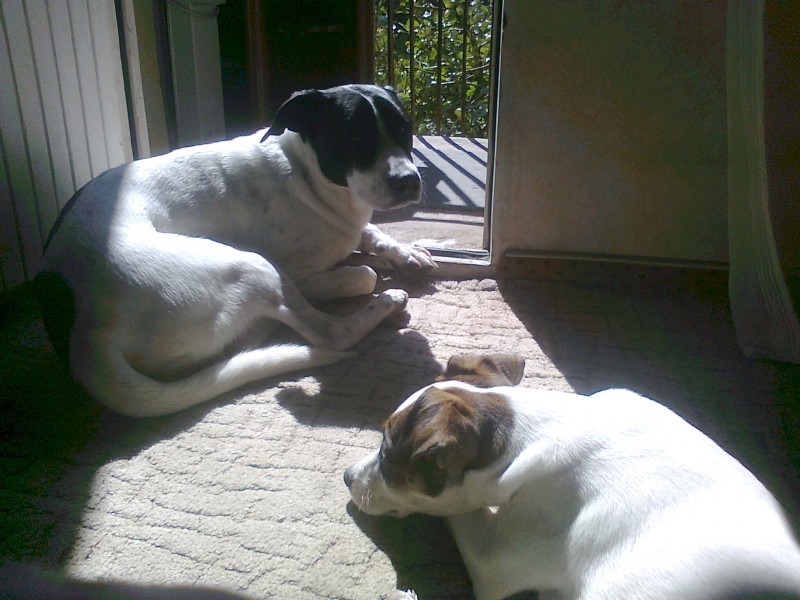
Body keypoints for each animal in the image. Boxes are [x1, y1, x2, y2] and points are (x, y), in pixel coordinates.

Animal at [34, 84, 436, 418]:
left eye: (405, 129)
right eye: (354, 136)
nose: (408, 181)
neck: (307, 176)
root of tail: (83, 331)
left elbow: (370, 233)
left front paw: (407, 253)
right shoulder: (302, 276)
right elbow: (365, 273)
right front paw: (374, 273)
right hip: (254, 266)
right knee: (330, 333)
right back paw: (386, 304)